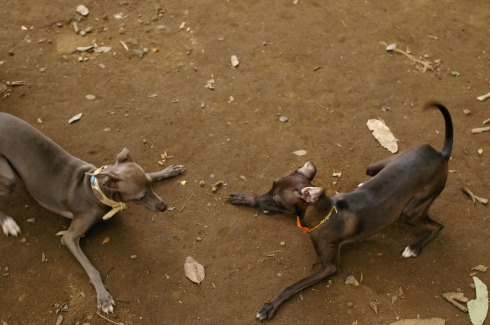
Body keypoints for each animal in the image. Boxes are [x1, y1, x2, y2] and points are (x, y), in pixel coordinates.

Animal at [228, 101, 454, 318]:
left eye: (277, 199)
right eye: (272, 184)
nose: (268, 196)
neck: (325, 215)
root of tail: (440, 155)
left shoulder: (329, 267)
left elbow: (291, 286)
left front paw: (270, 306)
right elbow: (260, 202)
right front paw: (246, 199)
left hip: (410, 213)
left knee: (437, 227)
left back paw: (414, 248)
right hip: (376, 167)